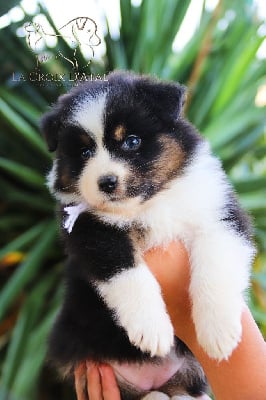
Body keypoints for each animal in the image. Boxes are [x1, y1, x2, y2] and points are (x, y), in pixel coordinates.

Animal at [40, 72, 255, 400]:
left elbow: (215, 264)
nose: (106, 182)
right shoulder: (90, 231)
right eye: (85, 152)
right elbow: (125, 273)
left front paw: (218, 331)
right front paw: (152, 329)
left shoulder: (219, 213)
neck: (148, 204)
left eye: (132, 141)